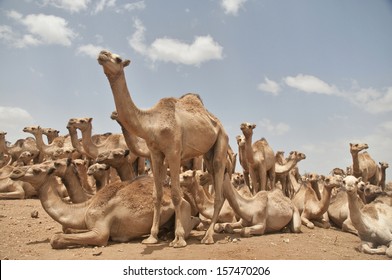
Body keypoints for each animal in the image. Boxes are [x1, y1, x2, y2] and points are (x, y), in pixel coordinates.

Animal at [9, 162, 199, 249]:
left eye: (36, 170)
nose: (14, 171)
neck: (85, 208)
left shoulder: (100, 230)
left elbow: (56, 238)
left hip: (184, 209)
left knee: (191, 221)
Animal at [97, 49, 230, 247]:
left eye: (118, 59)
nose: (102, 54)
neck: (152, 123)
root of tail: (218, 122)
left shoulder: (173, 152)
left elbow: (175, 194)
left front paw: (179, 238)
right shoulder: (155, 154)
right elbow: (157, 194)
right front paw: (152, 237)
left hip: (222, 139)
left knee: (219, 187)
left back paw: (208, 236)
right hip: (208, 151)